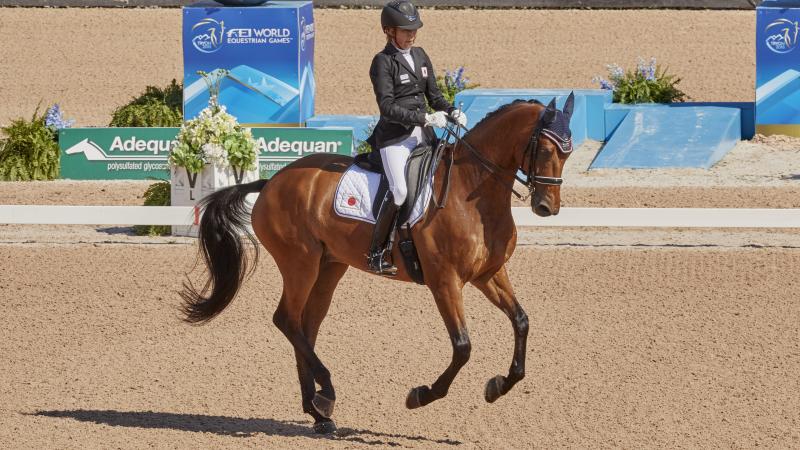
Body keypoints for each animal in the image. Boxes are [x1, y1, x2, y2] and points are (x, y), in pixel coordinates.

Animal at [181, 94, 576, 432]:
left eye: (567, 153)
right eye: (544, 149)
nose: (547, 207)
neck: (470, 190)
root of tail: (272, 181)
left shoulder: (488, 274)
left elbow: (521, 321)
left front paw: (498, 385)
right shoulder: (445, 281)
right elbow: (463, 347)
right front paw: (420, 395)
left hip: (329, 267)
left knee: (305, 326)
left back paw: (318, 411)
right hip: (300, 263)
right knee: (286, 320)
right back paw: (326, 392)